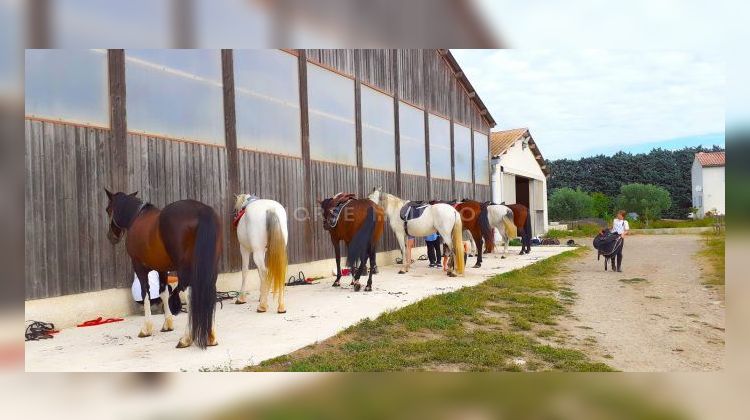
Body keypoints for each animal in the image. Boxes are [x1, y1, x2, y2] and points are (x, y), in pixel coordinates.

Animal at [106, 189, 223, 348]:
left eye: (108, 210)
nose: (111, 236)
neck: (136, 217)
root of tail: (201, 210)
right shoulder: (161, 268)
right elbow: (163, 292)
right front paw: (167, 324)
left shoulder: (139, 266)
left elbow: (146, 293)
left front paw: (146, 329)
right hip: (209, 267)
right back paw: (211, 336)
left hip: (185, 269)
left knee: (189, 294)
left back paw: (186, 338)